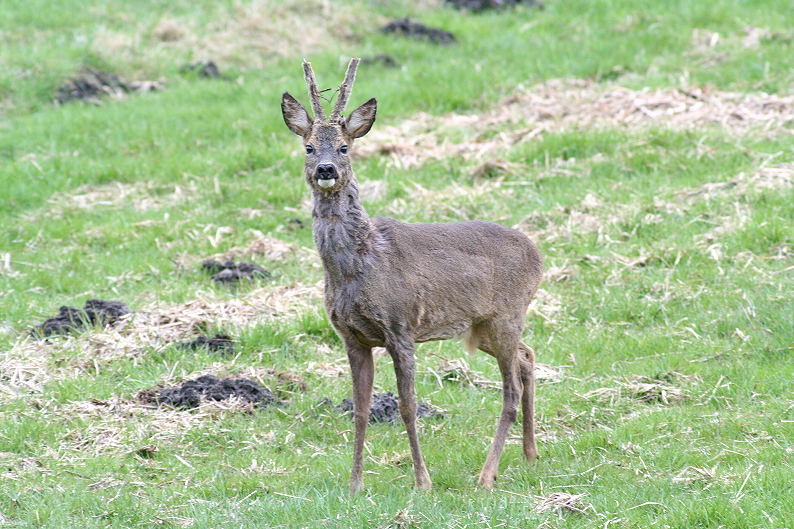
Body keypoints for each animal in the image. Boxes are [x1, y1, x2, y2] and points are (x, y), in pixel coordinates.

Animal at [280, 57, 544, 490]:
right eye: (308, 146)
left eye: (344, 146)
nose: (326, 169)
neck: (357, 266)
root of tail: (537, 254)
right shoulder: (352, 337)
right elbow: (360, 409)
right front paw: (355, 485)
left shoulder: (400, 326)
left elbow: (407, 406)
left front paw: (423, 481)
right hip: (481, 326)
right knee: (527, 355)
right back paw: (529, 454)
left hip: (506, 313)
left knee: (511, 389)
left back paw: (487, 475)